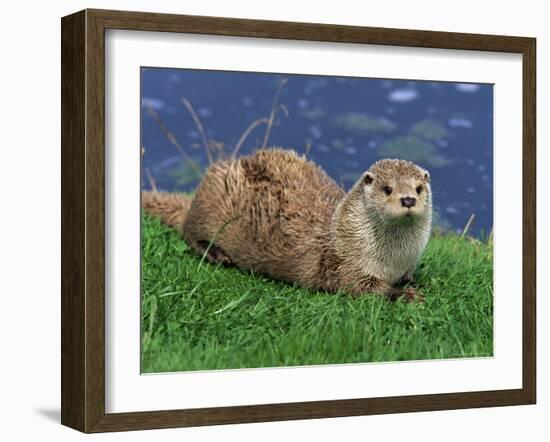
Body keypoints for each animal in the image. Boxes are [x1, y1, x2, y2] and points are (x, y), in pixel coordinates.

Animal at [143, 148, 436, 300]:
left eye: (419, 188)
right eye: (387, 189)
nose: (408, 199)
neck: (393, 260)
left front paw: (414, 284)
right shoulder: (345, 265)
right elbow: (362, 287)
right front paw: (405, 295)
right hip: (212, 198)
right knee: (189, 232)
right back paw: (216, 253)